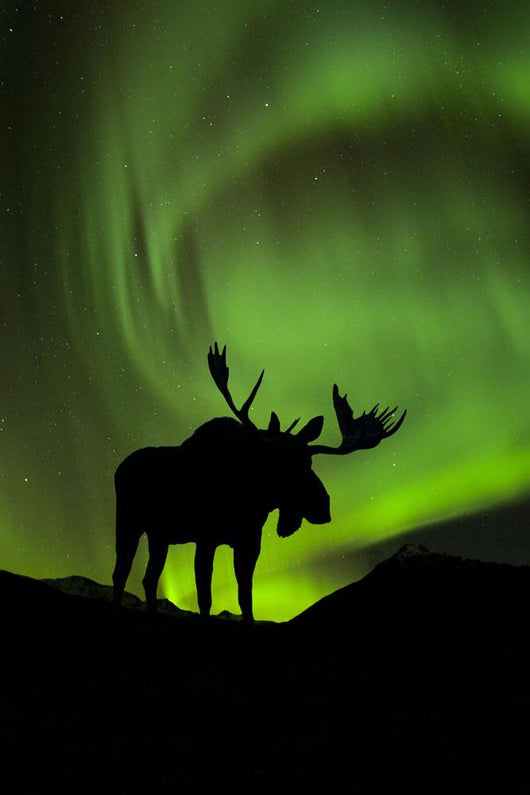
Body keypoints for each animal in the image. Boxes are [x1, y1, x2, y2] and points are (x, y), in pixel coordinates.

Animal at [112, 343, 406, 623]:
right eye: (285, 464)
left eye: (309, 462)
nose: (324, 506)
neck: (254, 495)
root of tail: (119, 467)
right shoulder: (206, 540)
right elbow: (205, 600)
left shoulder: (250, 543)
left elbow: (246, 599)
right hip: (129, 525)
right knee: (120, 573)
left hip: (159, 536)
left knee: (149, 579)